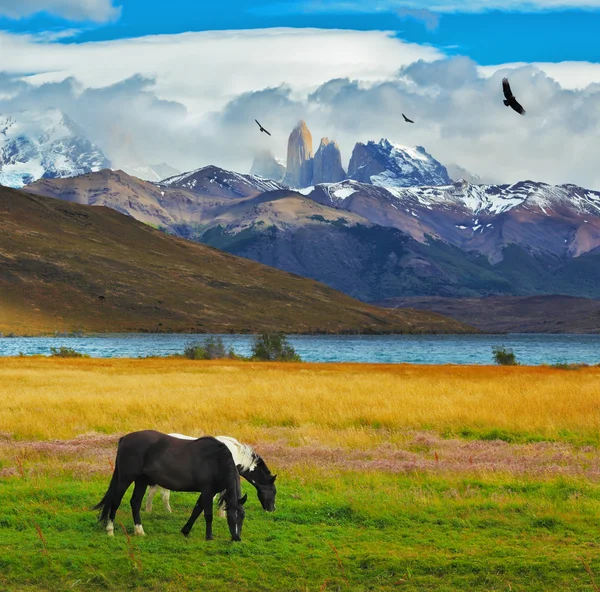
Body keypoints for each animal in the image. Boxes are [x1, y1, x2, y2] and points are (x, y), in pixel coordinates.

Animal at [93, 430, 246, 540]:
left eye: (242, 516)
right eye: (231, 515)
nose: (236, 538)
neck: (216, 460)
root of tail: (125, 438)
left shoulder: (209, 492)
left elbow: (196, 510)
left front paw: (185, 531)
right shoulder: (208, 491)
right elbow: (208, 514)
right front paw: (209, 537)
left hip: (141, 481)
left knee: (135, 502)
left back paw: (139, 531)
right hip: (125, 479)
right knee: (115, 502)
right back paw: (110, 530)